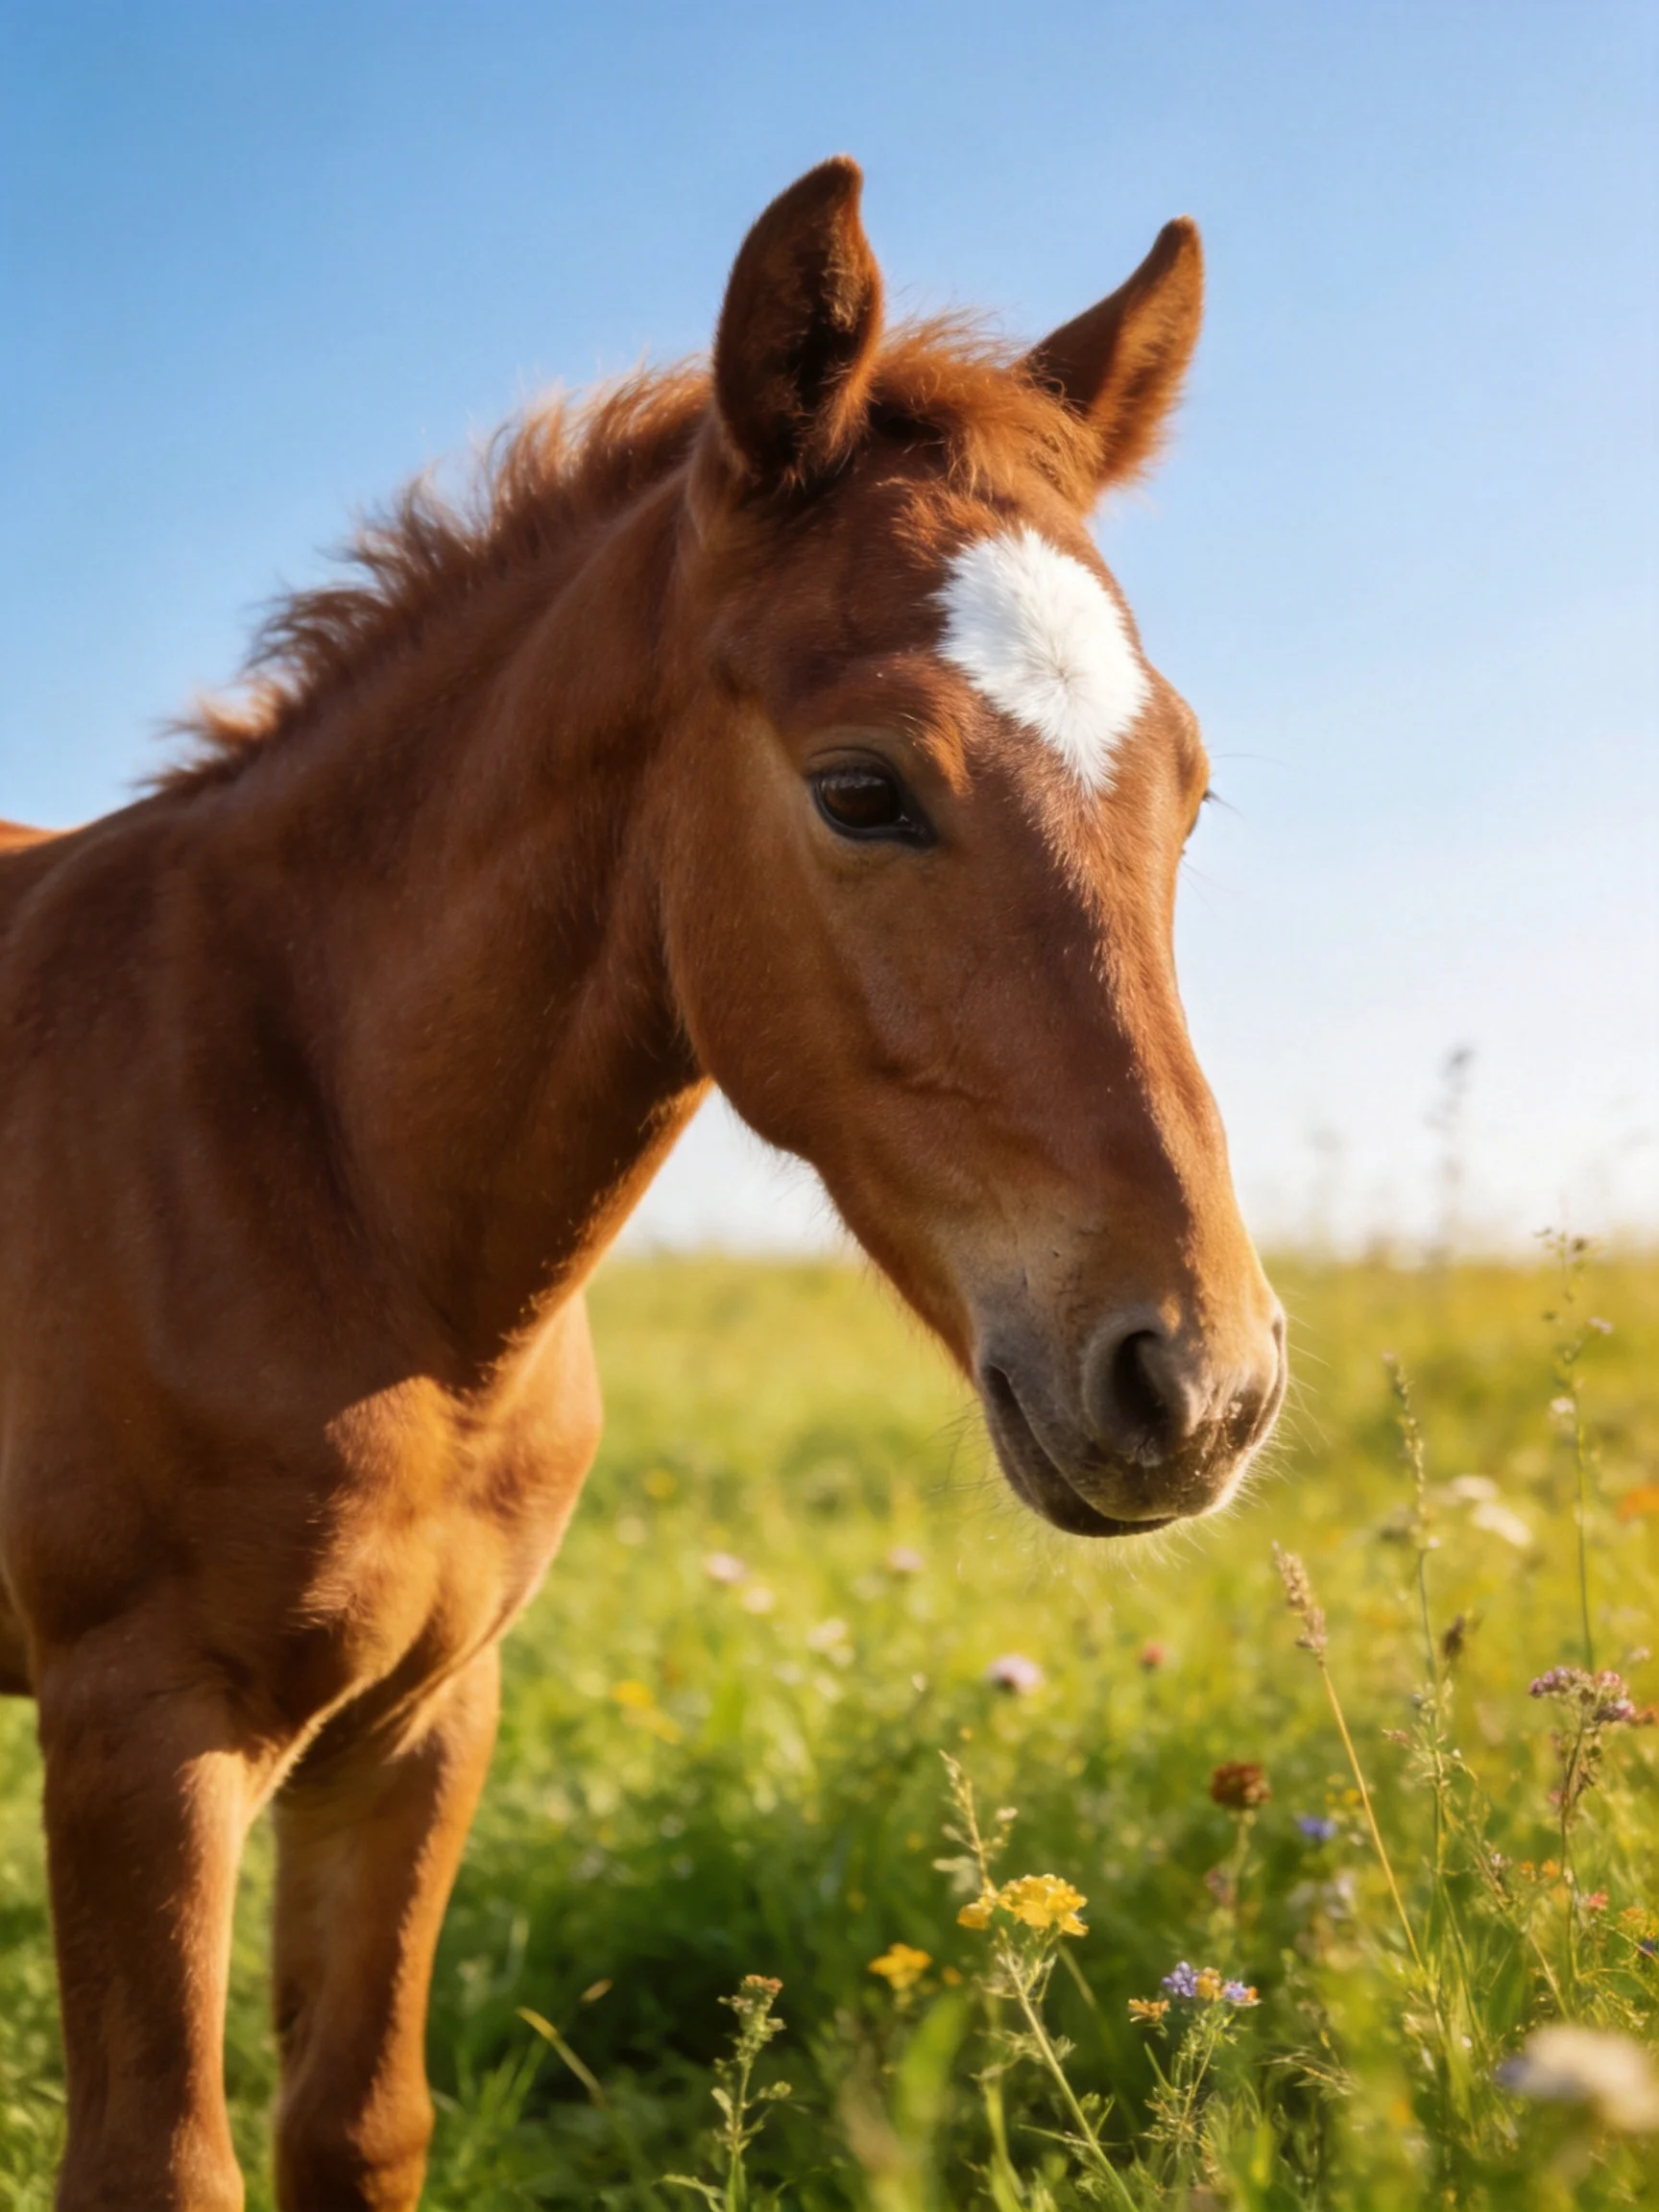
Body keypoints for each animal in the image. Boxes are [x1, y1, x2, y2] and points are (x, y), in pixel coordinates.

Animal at [0, 159, 1284, 2209]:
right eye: (860, 787)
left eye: (1186, 788)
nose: (1201, 1385)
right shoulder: (140, 1726)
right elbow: (164, 2158)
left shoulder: (421, 1718)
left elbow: (358, 2120)